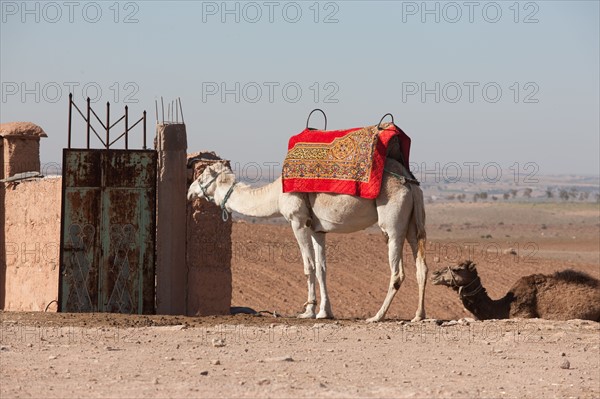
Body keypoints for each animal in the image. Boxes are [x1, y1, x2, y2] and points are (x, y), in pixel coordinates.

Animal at [188, 158, 426, 324]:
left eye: (201, 178)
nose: (190, 192)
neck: (276, 194)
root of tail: (409, 182)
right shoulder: (317, 229)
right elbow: (322, 268)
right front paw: (324, 312)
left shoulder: (298, 221)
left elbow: (308, 266)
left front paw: (308, 311)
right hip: (413, 223)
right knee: (421, 266)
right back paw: (418, 315)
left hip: (392, 224)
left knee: (397, 271)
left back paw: (377, 316)